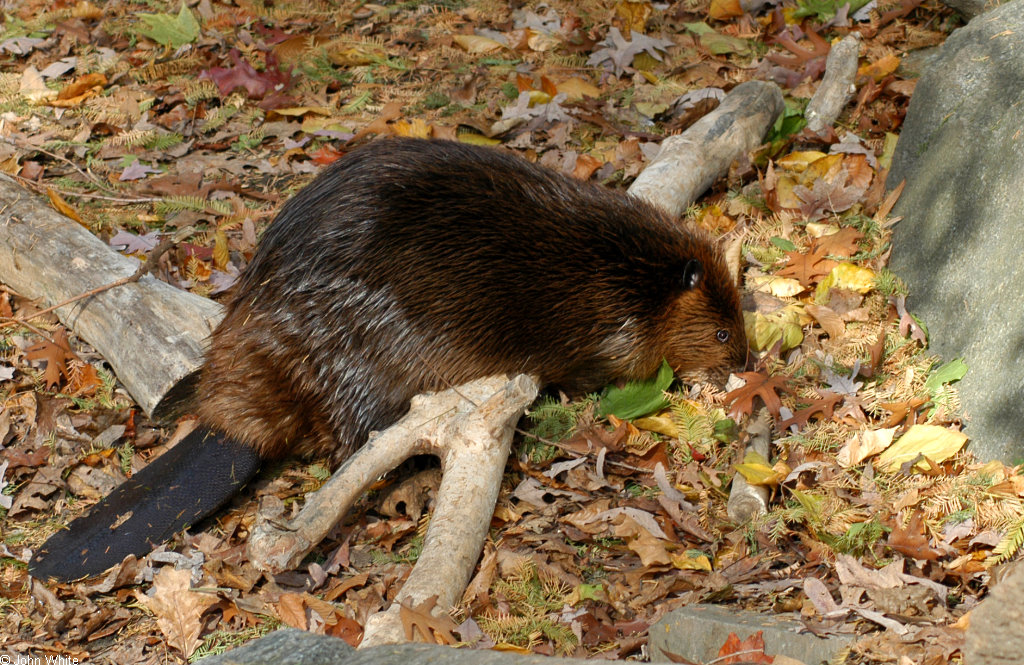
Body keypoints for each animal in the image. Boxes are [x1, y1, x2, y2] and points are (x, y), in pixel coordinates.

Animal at [29, 137, 745, 577]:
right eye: (722, 334)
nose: (744, 364)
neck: (628, 270)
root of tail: (232, 425)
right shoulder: (608, 327)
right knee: (353, 445)